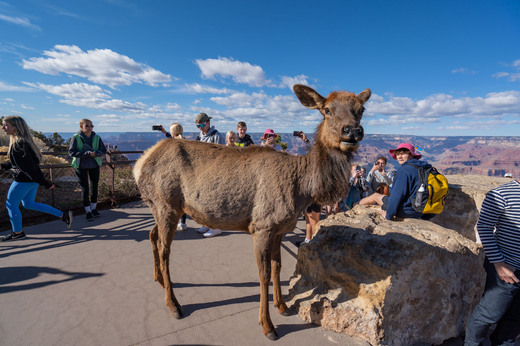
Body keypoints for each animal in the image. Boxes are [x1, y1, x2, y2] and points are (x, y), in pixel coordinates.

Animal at [133, 84, 370, 340]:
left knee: (152, 235)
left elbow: (278, 267)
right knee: (164, 250)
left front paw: (283, 306)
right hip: (166, 204)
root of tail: (139, 164)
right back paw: (174, 305)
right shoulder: (261, 226)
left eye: (361, 109)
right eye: (326, 109)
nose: (352, 131)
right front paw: (268, 326)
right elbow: (263, 275)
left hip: (164, 207)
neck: (302, 188)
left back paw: (158, 279)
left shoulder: (279, 229)